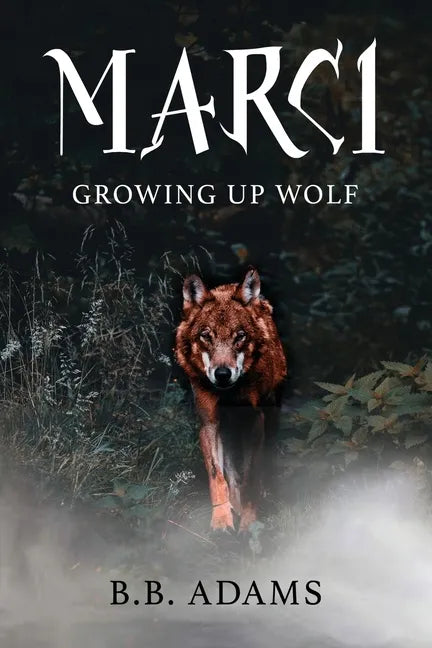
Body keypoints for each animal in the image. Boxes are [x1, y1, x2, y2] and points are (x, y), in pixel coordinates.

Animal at [175, 268, 287, 532]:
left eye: (240, 336)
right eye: (206, 336)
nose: (223, 374)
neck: (229, 395)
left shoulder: (254, 422)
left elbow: (251, 475)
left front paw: (249, 522)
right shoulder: (209, 424)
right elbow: (218, 477)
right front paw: (221, 521)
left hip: (271, 413)